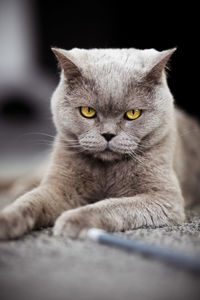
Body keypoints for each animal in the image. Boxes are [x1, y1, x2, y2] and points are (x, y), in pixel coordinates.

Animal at [0, 46, 200, 239]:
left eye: (133, 113)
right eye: (87, 111)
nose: (108, 134)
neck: (106, 170)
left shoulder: (164, 198)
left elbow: (114, 206)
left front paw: (73, 219)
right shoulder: (59, 186)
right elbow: (31, 200)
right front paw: (6, 219)